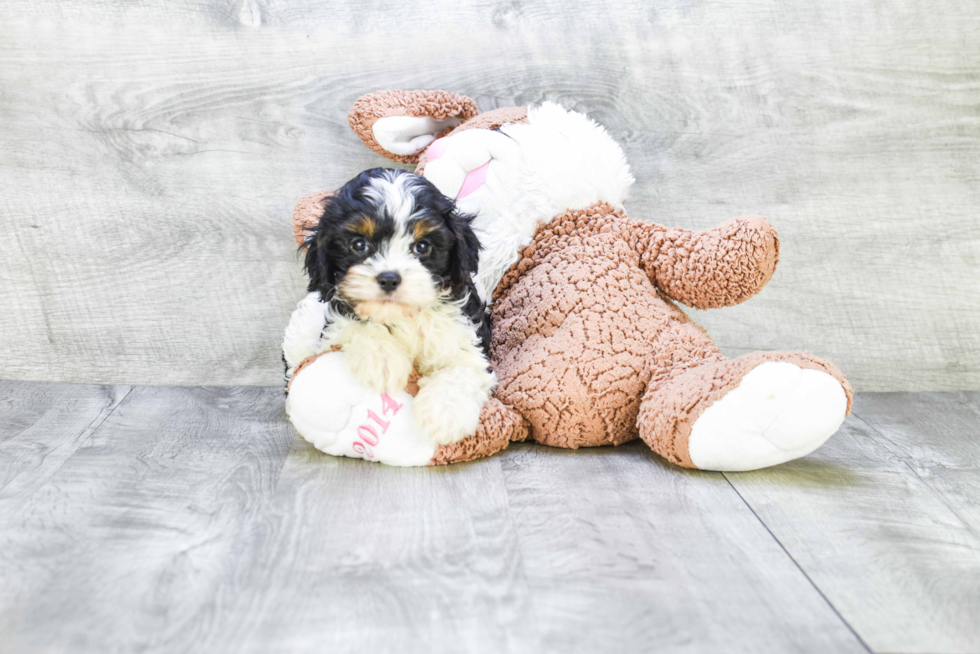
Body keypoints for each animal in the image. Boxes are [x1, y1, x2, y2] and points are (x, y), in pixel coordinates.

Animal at [302, 168, 494, 446]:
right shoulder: (334, 330)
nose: (389, 278)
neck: (404, 315)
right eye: (358, 245)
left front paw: (445, 413)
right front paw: (382, 361)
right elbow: (360, 326)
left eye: (422, 246)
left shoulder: (464, 335)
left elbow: (461, 367)